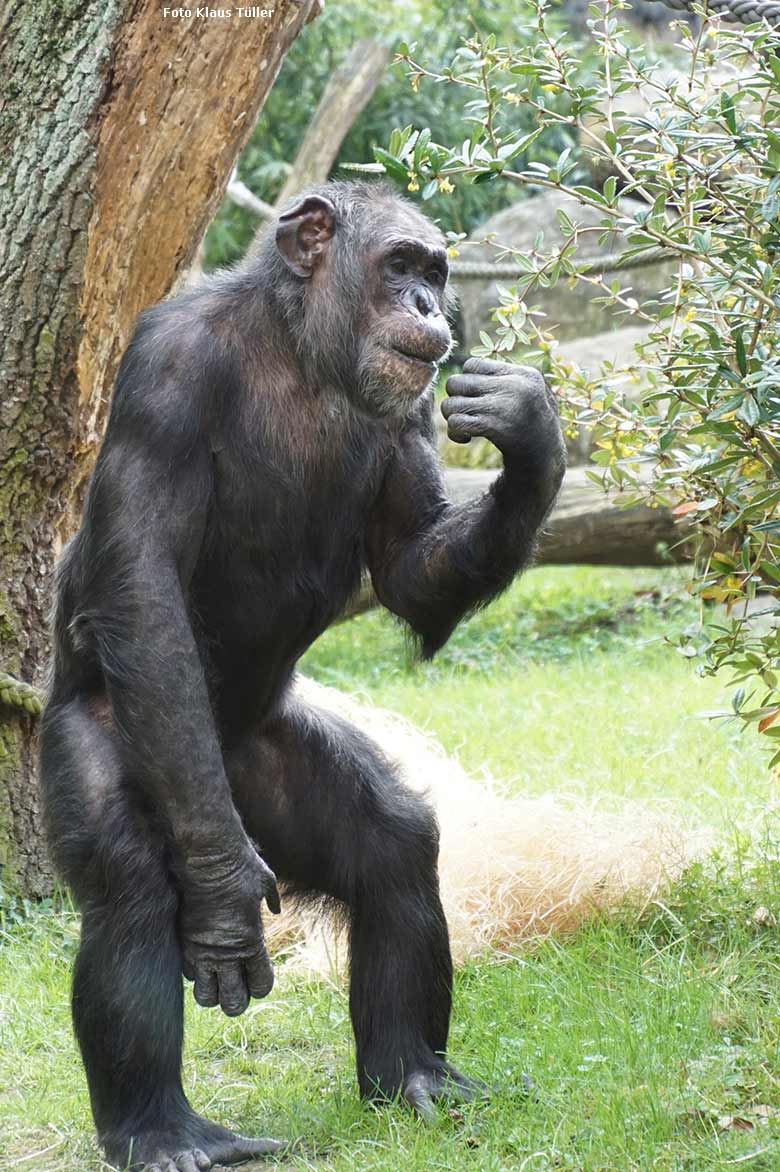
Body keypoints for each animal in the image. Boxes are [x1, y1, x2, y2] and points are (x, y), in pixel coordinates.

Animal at [39, 180, 562, 1172]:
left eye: (437, 271)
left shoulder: (408, 409)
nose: (430, 305)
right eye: (400, 265)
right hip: (139, 751)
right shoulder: (164, 369)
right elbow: (145, 587)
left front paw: (531, 433)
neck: (300, 354)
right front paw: (222, 910)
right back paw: (163, 1132)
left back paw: (412, 1075)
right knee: (129, 888)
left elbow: (410, 566)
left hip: (264, 768)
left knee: (394, 845)